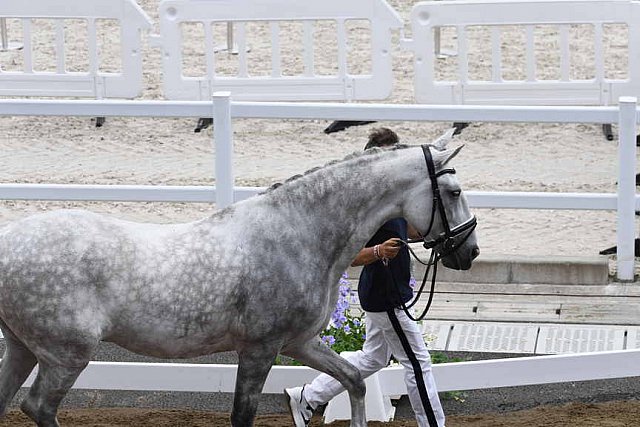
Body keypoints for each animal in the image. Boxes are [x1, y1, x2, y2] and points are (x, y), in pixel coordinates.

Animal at [0, 142, 478, 426]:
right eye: (454, 191)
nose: (469, 251)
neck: (298, 233)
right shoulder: (260, 348)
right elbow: (242, 415)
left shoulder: (299, 343)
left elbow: (354, 381)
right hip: (66, 355)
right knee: (38, 406)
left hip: (23, 349)